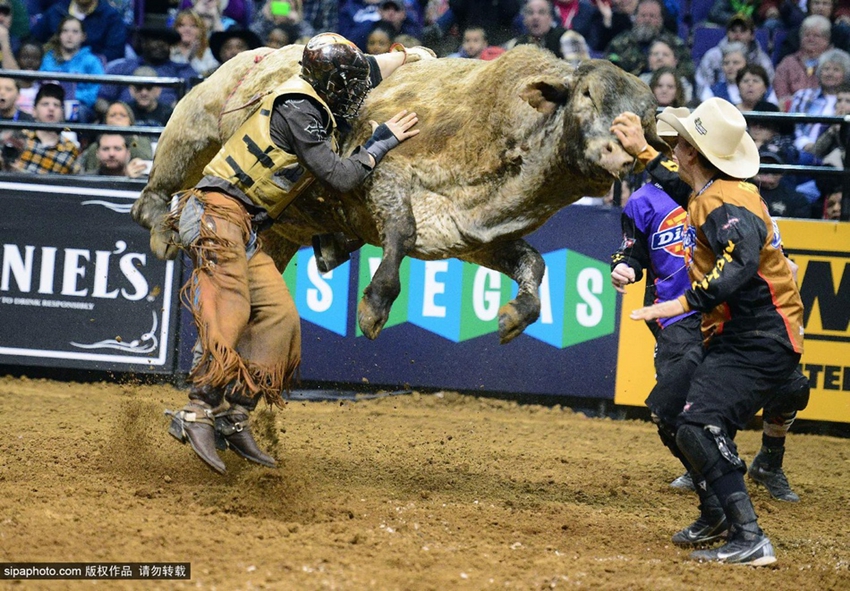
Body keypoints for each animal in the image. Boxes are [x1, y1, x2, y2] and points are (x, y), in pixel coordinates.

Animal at [134, 46, 664, 344]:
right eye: (588, 96)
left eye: (647, 117)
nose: (622, 152)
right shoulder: (385, 178)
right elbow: (401, 231)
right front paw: (374, 306)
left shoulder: (471, 237)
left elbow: (533, 264)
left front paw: (514, 318)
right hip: (194, 125)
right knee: (151, 196)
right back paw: (162, 230)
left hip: (279, 233)